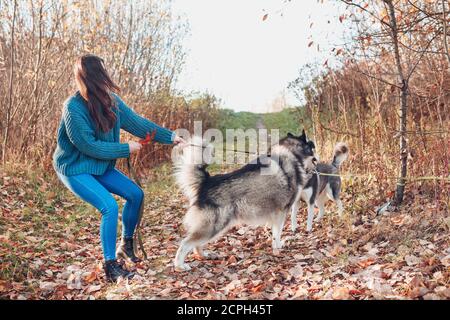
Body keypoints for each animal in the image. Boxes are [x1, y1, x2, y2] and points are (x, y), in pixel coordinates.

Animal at [171, 130, 316, 270]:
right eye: (312, 147)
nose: (317, 160)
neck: (292, 154)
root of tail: (207, 182)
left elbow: (274, 233)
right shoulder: (281, 212)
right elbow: (278, 233)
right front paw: (278, 247)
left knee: (196, 244)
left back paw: (203, 255)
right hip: (214, 226)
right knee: (185, 244)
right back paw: (180, 265)